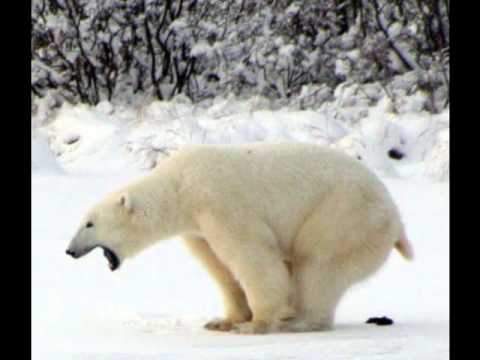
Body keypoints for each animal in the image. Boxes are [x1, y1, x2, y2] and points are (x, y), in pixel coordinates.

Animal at [65, 143, 414, 334]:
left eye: (89, 224)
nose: (69, 251)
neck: (180, 186)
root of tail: (396, 219)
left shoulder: (219, 202)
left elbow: (252, 255)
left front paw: (254, 324)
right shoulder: (198, 228)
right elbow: (220, 267)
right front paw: (223, 321)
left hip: (345, 215)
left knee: (317, 264)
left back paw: (297, 320)